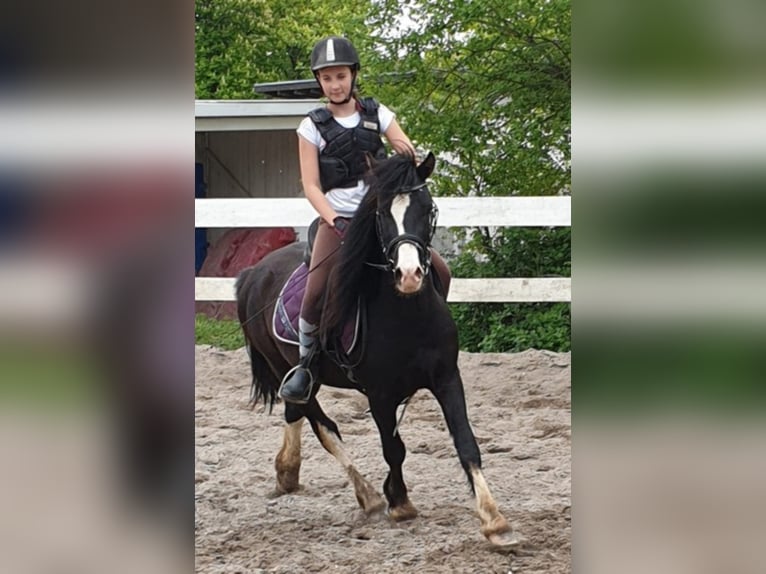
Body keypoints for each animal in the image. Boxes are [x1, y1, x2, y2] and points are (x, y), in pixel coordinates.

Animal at [235, 153, 515, 546]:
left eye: (427, 208)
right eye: (382, 213)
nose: (409, 274)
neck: (407, 313)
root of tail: (254, 273)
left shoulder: (447, 378)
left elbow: (466, 442)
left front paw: (493, 518)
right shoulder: (380, 394)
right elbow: (393, 449)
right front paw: (399, 502)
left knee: (295, 413)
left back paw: (288, 472)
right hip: (287, 369)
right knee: (320, 422)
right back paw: (367, 495)